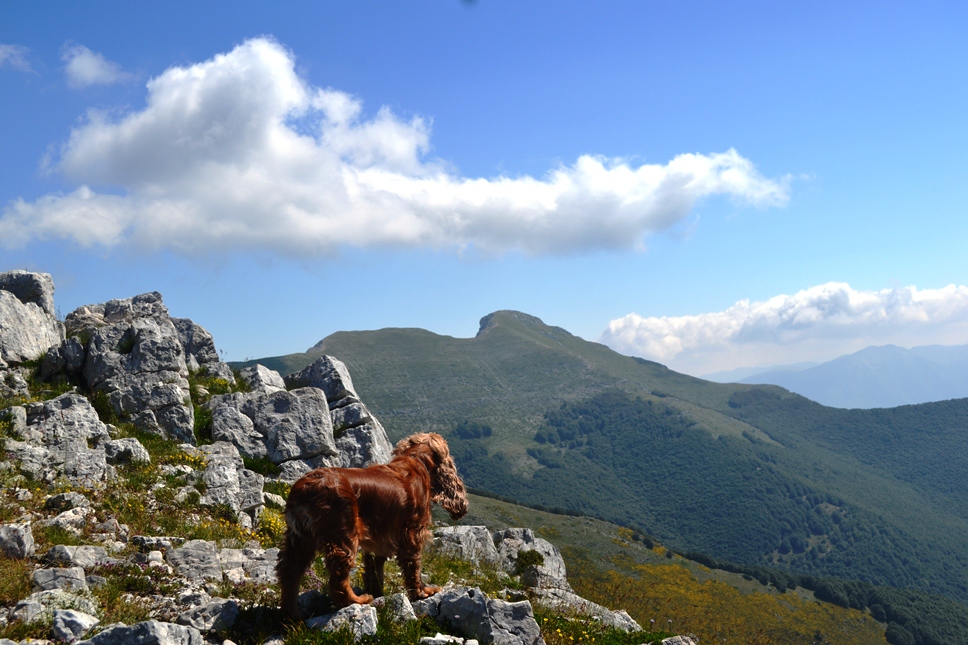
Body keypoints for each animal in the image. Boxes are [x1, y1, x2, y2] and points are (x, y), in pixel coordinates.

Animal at [276, 430, 468, 616]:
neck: (415, 460)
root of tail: (305, 488)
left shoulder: (379, 540)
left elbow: (375, 570)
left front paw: (378, 593)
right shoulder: (412, 533)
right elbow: (414, 566)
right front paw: (422, 592)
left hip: (300, 538)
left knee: (289, 573)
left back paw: (292, 615)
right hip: (342, 533)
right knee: (338, 577)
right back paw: (357, 600)